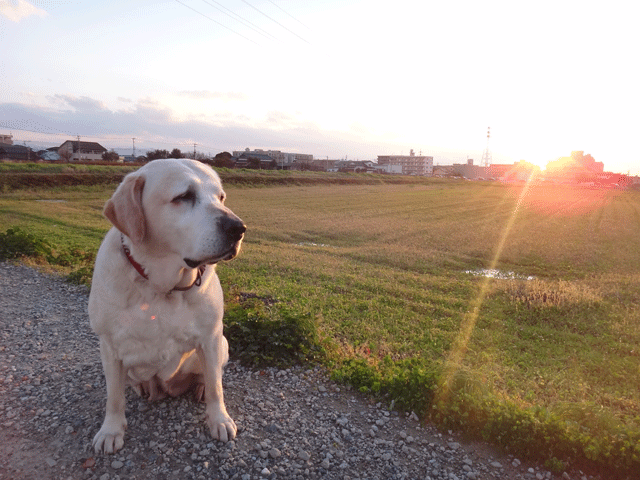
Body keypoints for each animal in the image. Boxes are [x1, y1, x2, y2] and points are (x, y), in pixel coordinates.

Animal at [86, 158, 244, 454]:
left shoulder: (211, 336)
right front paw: (111, 430)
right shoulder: (108, 345)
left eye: (221, 197)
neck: (162, 285)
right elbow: (114, 396)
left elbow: (216, 386)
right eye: (183, 197)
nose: (238, 228)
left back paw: (199, 387)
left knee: (209, 375)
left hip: (223, 344)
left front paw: (219, 418)